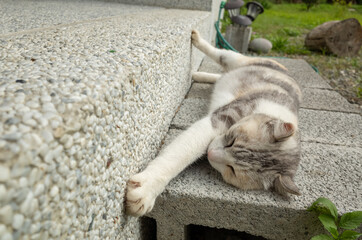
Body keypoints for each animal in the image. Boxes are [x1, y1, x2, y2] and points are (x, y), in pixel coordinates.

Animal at [126, 29, 302, 216]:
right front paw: (147, 189)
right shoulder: (218, 120)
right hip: (235, 59)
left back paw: (199, 75)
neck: (271, 110)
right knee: (219, 54)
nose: (210, 153)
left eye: (232, 170)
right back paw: (196, 39)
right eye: (232, 141)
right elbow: (181, 154)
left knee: (221, 74)